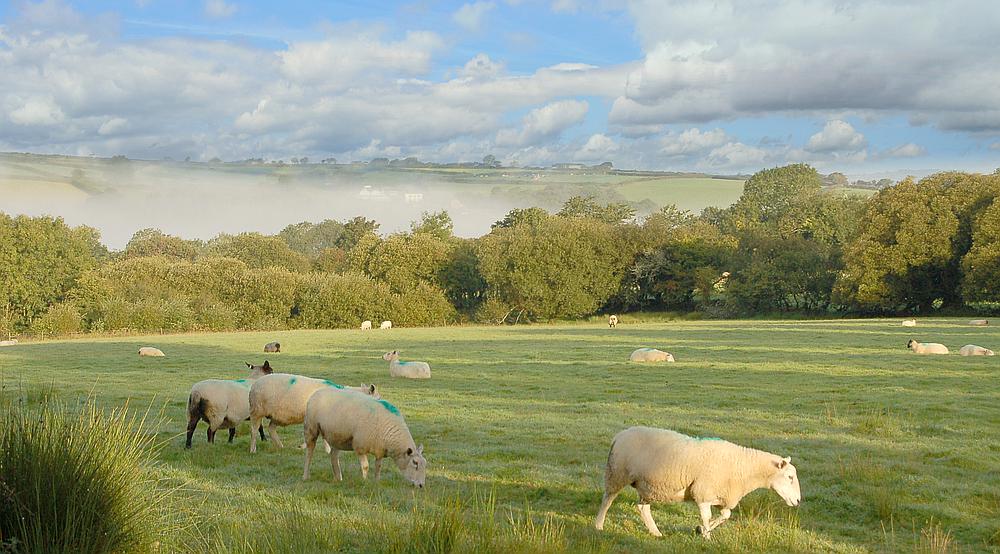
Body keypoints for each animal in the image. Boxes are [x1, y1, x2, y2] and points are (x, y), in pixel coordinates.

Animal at [247, 370, 378, 452]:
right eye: (378, 399)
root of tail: (254, 385)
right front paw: (327, 450)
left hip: (276, 415)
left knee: (271, 429)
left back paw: (280, 446)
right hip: (257, 410)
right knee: (254, 430)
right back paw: (253, 449)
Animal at [592, 424, 804, 536]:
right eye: (789, 477)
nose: (798, 501)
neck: (743, 467)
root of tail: (619, 435)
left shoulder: (721, 495)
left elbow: (726, 515)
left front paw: (701, 530)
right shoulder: (703, 492)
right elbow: (707, 515)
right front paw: (707, 536)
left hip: (648, 485)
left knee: (643, 508)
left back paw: (656, 533)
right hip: (617, 474)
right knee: (607, 500)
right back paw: (598, 526)